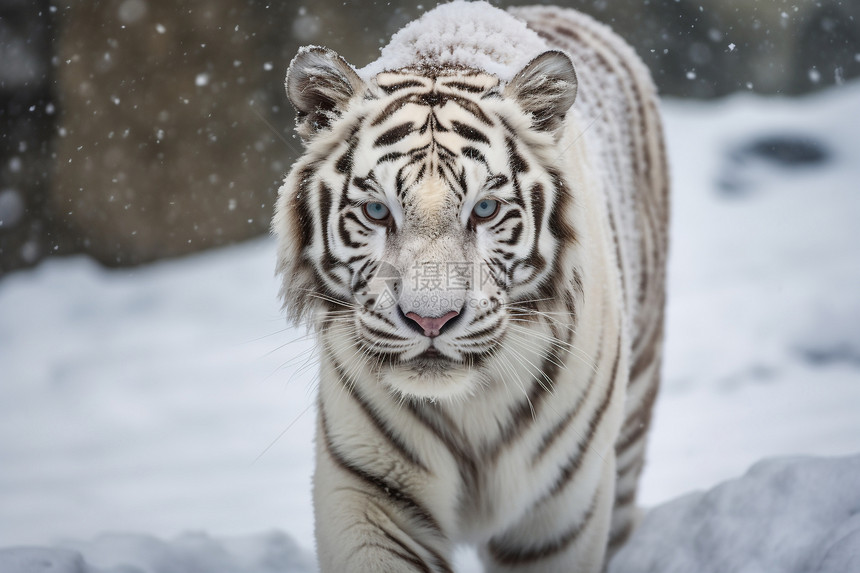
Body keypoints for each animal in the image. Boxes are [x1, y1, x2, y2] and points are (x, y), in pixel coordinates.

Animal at [276, 2, 672, 568]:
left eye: (484, 209)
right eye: (377, 211)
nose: (431, 319)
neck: (469, 406)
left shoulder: (561, 510)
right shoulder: (369, 494)